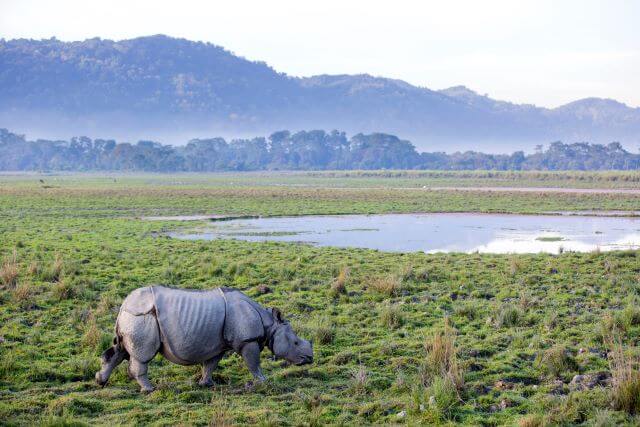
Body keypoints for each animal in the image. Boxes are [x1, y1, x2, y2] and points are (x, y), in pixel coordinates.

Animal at [95, 286, 313, 392]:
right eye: (295, 343)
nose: (310, 359)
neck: (269, 324)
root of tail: (123, 306)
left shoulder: (219, 345)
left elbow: (211, 364)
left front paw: (206, 384)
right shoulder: (247, 341)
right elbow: (253, 364)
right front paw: (263, 382)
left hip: (133, 318)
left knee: (120, 351)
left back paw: (100, 381)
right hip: (142, 317)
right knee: (142, 355)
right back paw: (149, 389)